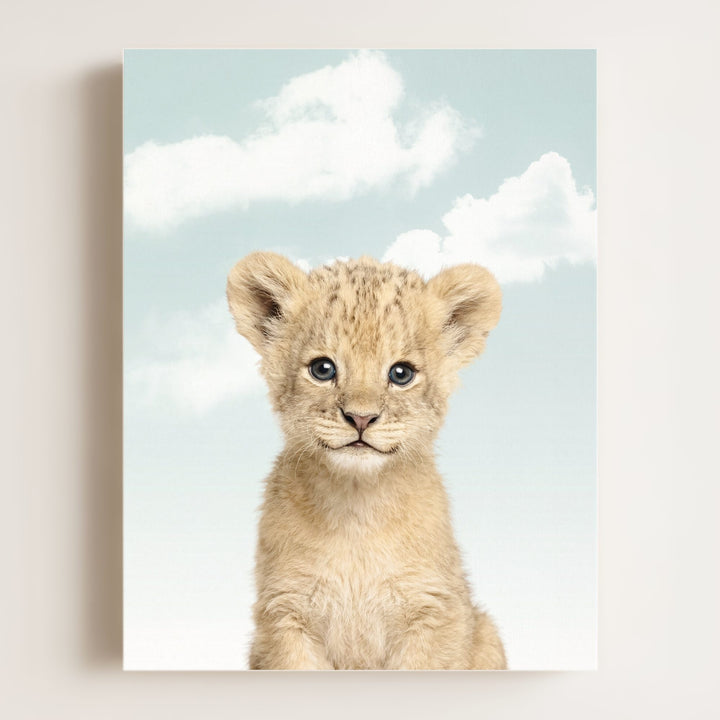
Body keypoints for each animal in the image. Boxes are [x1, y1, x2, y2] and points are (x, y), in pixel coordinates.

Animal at [227, 252, 506, 669]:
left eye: (401, 373)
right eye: (323, 369)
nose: (361, 418)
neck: (356, 510)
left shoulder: (435, 612)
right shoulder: (285, 615)